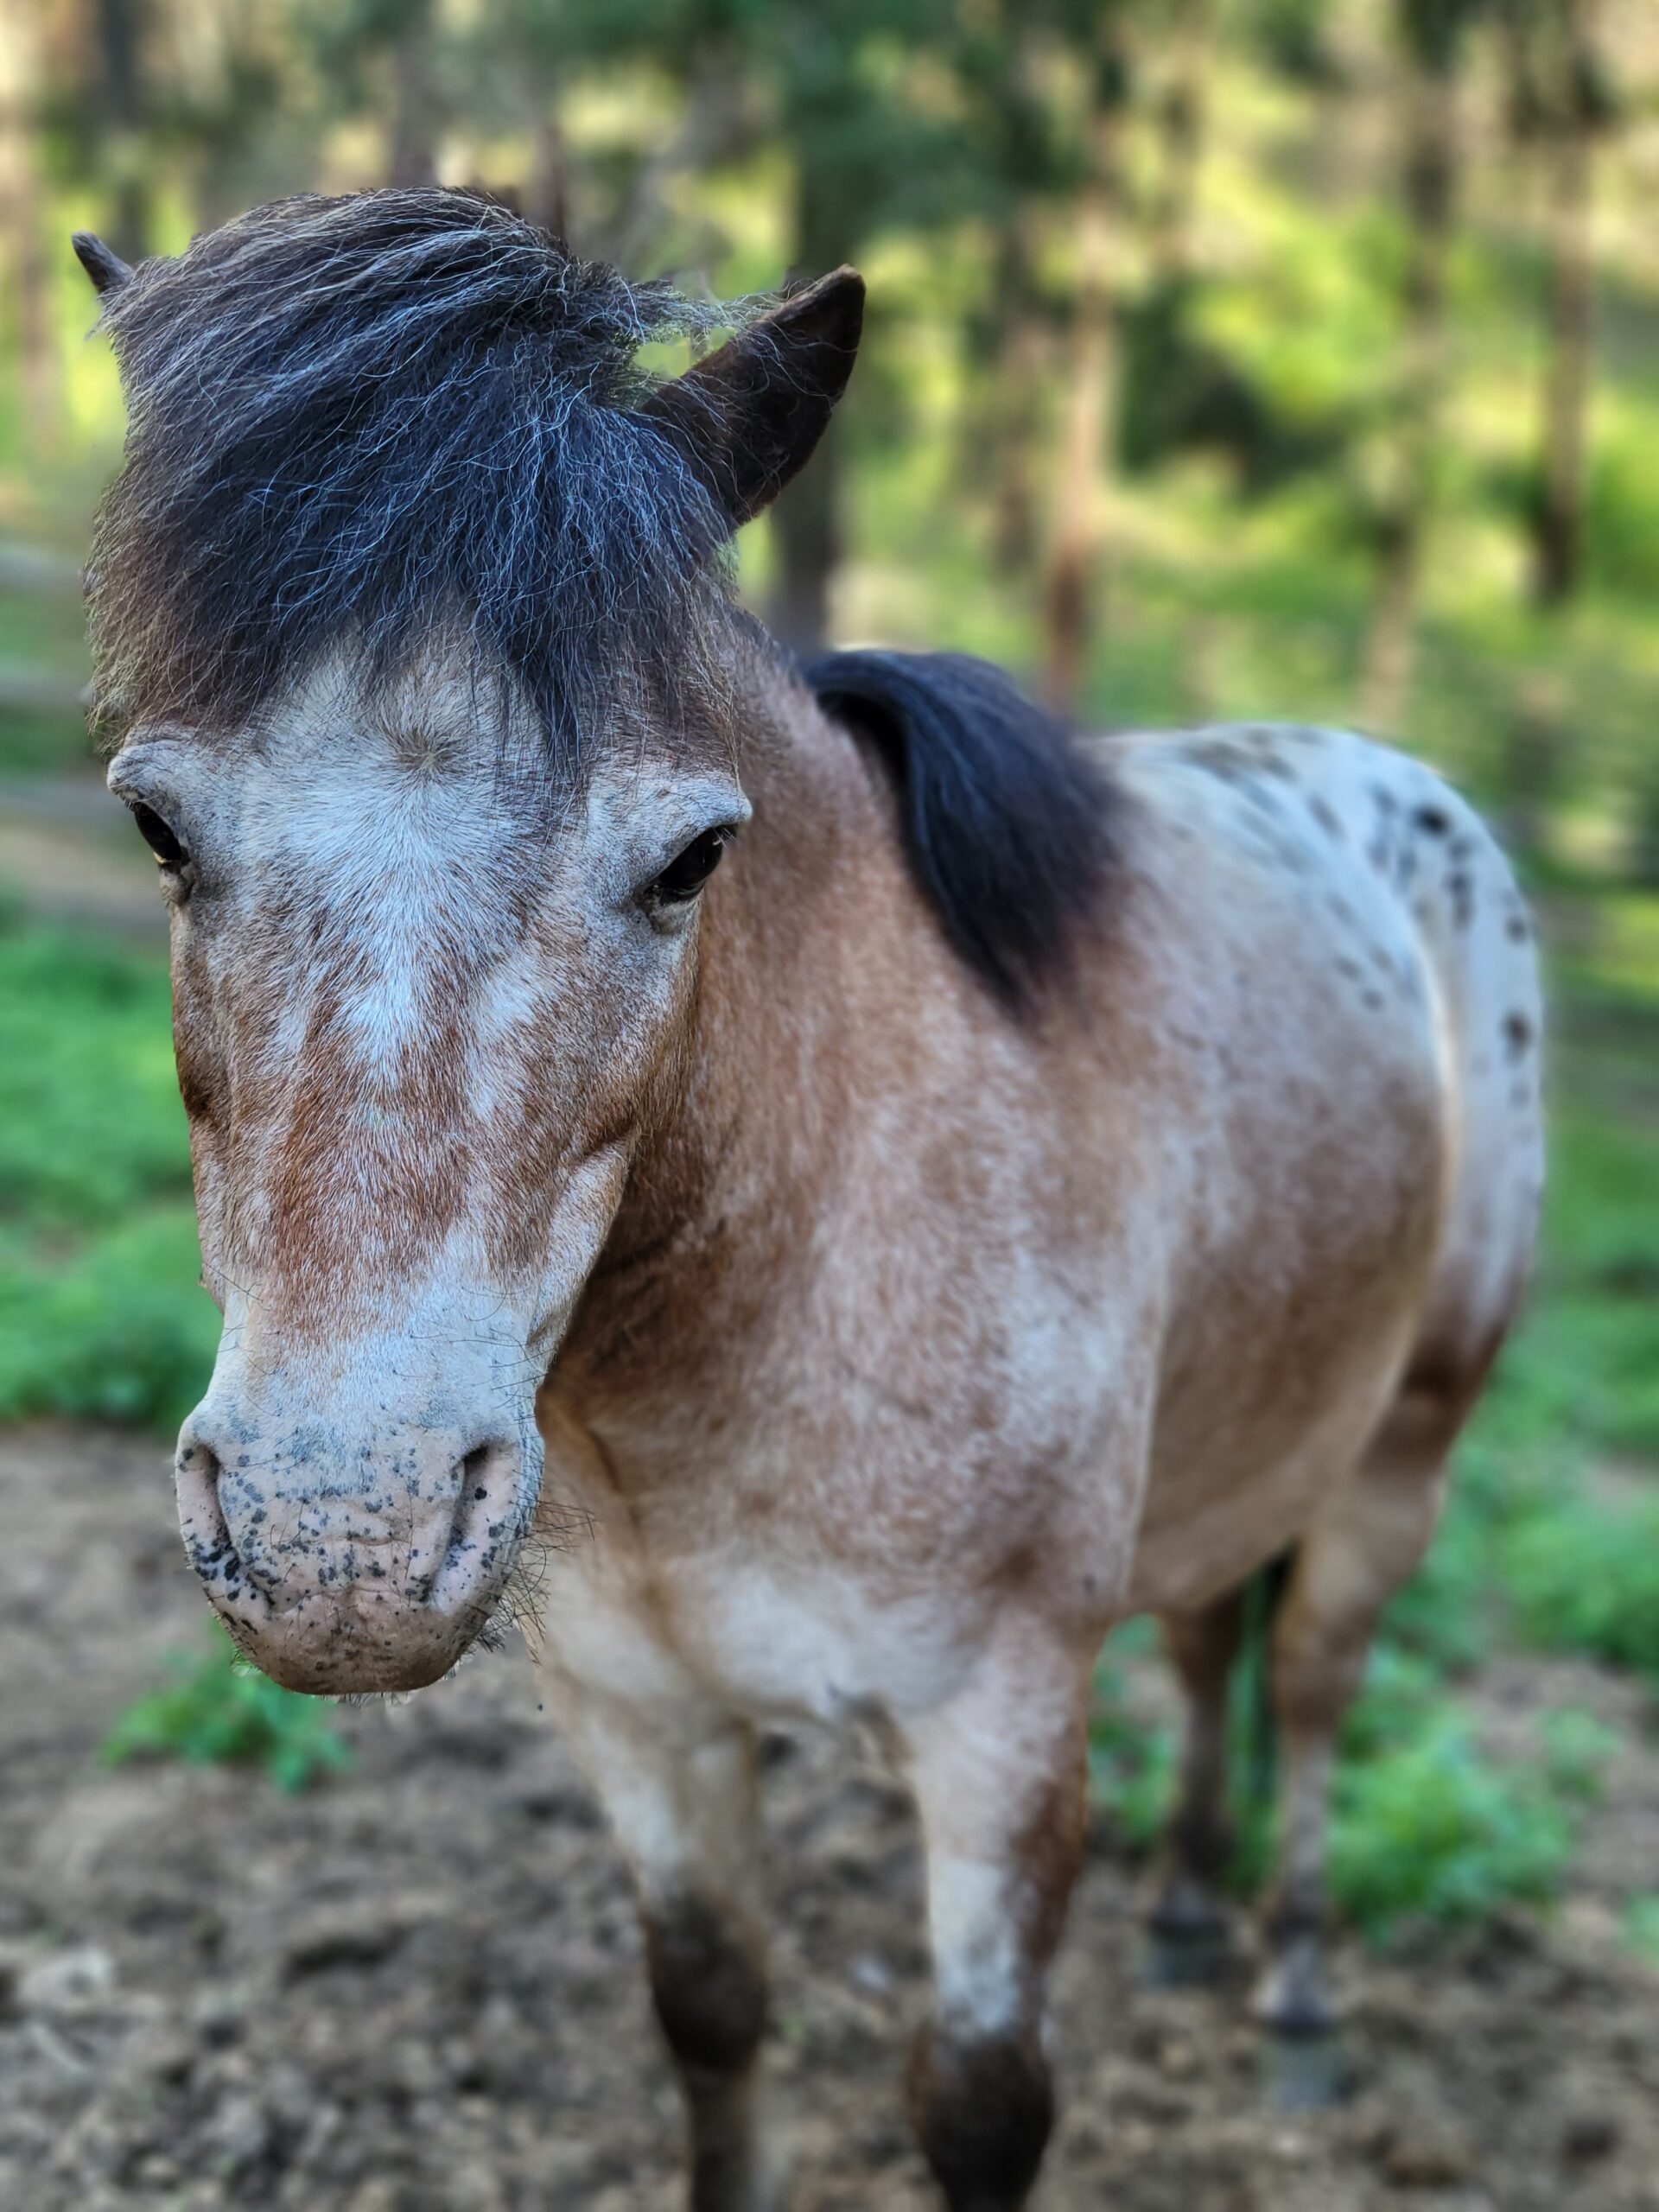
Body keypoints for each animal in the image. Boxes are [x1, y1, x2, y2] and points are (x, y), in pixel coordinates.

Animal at [71, 190, 1539, 2212]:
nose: (336, 1544)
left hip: (1409, 1436)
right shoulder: (641, 1717)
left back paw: (1299, 1993)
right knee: (1214, 1627)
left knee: (1315, 1677)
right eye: (156, 824)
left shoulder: (999, 1734)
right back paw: (1186, 1914)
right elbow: (712, 2014)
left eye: (693, 856)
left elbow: (981, 2103)